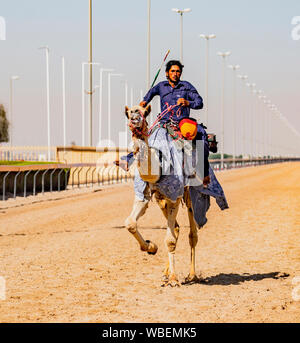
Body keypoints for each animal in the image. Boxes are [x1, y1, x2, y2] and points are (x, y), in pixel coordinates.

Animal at [123, 105, 203, 288]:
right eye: (128, 113)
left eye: (144, 113)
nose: (135, 117)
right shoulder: (144, 195)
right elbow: (130, 223)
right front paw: (150, 247)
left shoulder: (175, 196)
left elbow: (170, 240)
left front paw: (174, 279)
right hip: (161, 201)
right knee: (176, 228)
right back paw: (165, 273)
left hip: (189, 193)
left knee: (192, 233)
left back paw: (191, 275)